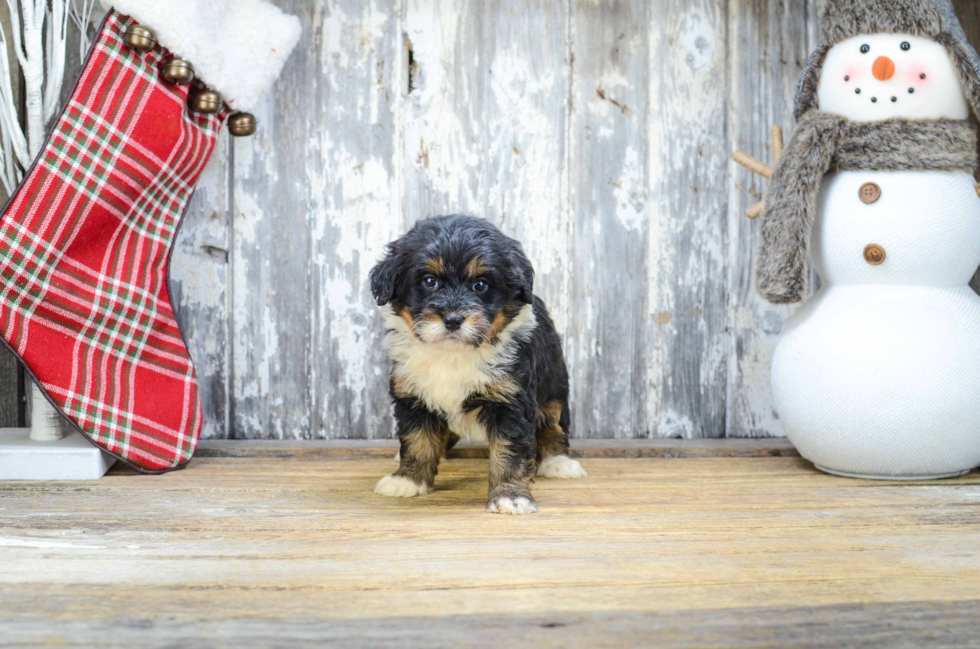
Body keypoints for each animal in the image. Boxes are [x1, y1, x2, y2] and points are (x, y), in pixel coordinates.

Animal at [368, 215, 580, 512]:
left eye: (480, 285)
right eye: (429, 281)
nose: (453, 319)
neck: (454, 353)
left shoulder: (511, 401)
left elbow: (509, 452)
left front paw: (510, 496)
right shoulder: (412, 396)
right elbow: (417, 441)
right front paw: (408, 480)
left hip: (554, 385)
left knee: (552, 423)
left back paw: (558, 462)